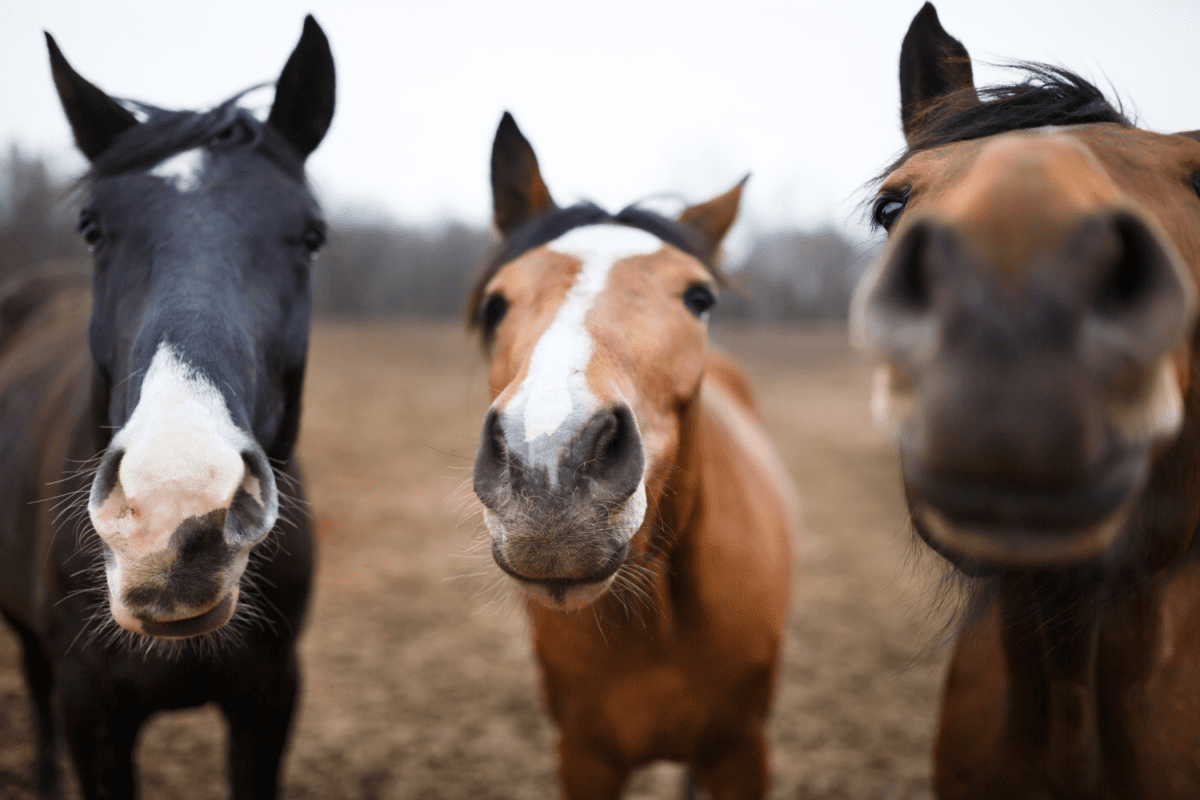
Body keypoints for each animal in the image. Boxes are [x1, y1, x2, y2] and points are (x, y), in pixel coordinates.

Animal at [468, 113, 796, 800]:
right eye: (496, 303)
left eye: (700, 298)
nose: (551, 465)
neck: (658, 628)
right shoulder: (584, 758)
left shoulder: (743, 754)